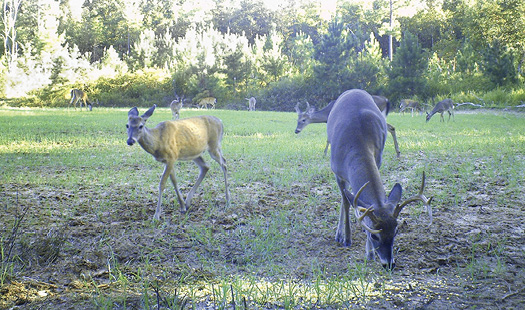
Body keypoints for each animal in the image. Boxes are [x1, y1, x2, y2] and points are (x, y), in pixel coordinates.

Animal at [326, 89, 432, 268]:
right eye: (375, 236)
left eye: (396, 231)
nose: (389, 263)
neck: (356, 144)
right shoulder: (336, 171)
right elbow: (346, 202)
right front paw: (346, 238)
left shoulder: (378, 159)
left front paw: (369, 253)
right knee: (345, 198)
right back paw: (340, 234)